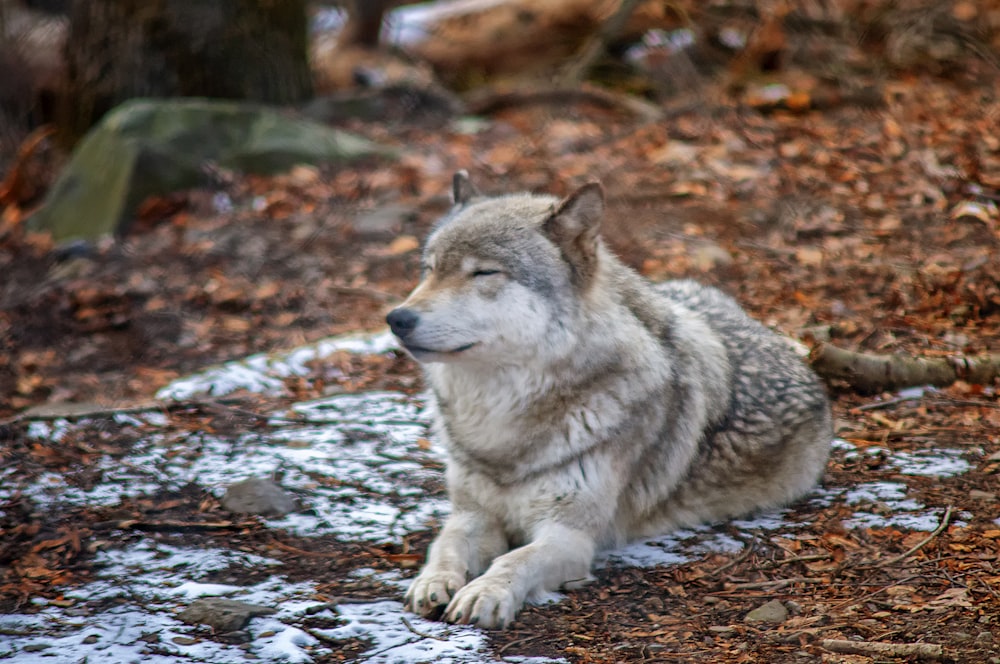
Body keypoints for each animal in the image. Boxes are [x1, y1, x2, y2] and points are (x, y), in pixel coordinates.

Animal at [386, 171, 832, 628]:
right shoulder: (471, 514)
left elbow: (516, 560)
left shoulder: (570, 536)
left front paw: (486, 592)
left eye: (483, 272)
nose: (397, 319)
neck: (501, 422)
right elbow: (445, 544)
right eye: (429, 269)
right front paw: (432, 581)